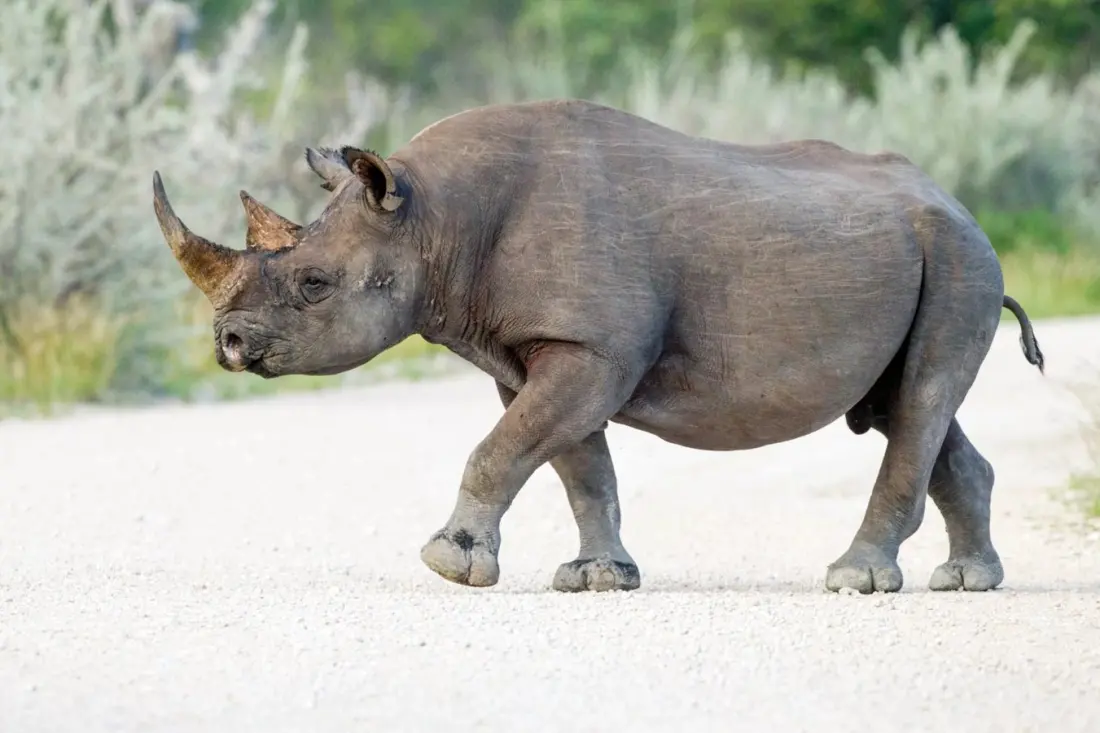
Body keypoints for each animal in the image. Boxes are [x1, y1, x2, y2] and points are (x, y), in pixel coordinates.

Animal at [152, 98, 1045, 595]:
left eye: (314, 285)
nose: (228, 342)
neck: (433, 216)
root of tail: (955, 203)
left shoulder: (593, 347)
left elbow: (502, 449)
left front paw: (450, 564)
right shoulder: (541, 349)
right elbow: (572, 463)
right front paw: (598, 578)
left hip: (962, 258)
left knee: (920, 399)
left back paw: (855, 580)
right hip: (931, 255)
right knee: (908, 406)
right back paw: (968, 581)